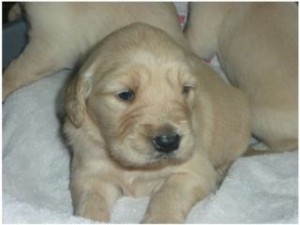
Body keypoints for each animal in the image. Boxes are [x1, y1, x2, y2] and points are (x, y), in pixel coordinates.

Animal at [63, 22, 251, 223]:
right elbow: (91, 203)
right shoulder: (90, 175)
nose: (169, 142)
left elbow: (168, 197)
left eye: (185, 89)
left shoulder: (194, 172)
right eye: (126, 94)